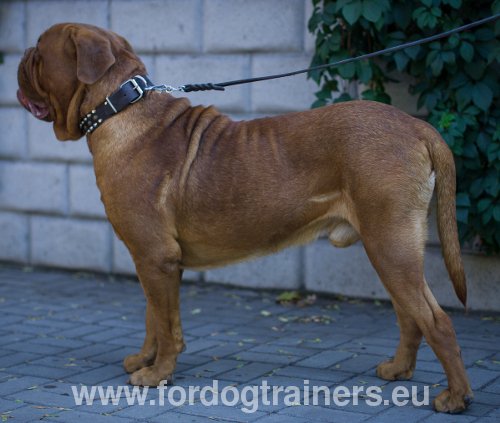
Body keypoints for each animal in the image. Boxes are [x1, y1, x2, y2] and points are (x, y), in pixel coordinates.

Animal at [16, 22, 472, 410]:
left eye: (39, 50)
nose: (20, 56)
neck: (119, 108)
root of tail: (418, 127)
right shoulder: (152, 259)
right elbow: (153, 317)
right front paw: (144, 360)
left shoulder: (155, 257)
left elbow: (165, 324)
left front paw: (157, 374)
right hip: (391, 247)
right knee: (411, 316)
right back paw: (399, 370)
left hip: (389, 244)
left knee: (438, 321)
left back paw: (455, 397)